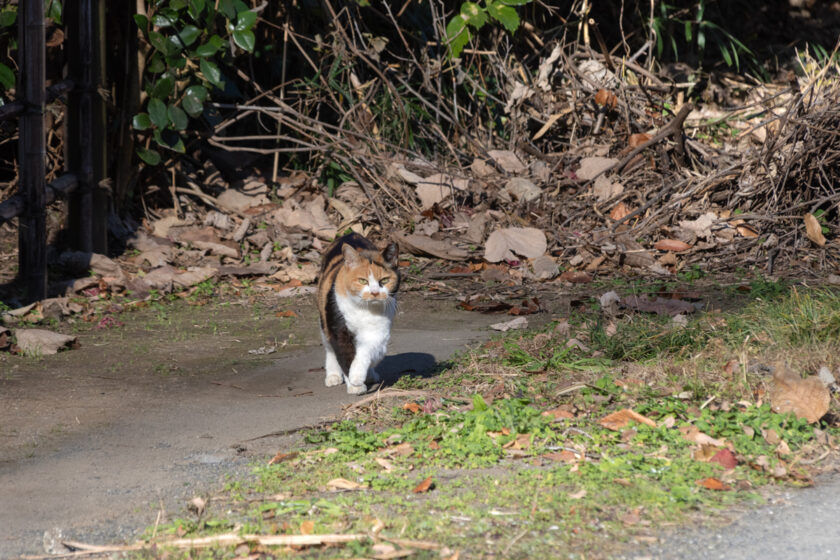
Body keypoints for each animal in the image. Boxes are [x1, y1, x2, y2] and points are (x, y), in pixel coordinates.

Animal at [320, 232, 402, 394]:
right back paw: (333, 376)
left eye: (385, 280)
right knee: (329, 347)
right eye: (363, 281)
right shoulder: (338, 330)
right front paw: (355, 384)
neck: (365, 310)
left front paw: (360, 374)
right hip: (324, 318)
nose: (375, 293)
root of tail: (350, 234)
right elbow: (345, 355)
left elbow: (369, 350)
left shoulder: (379, 330)